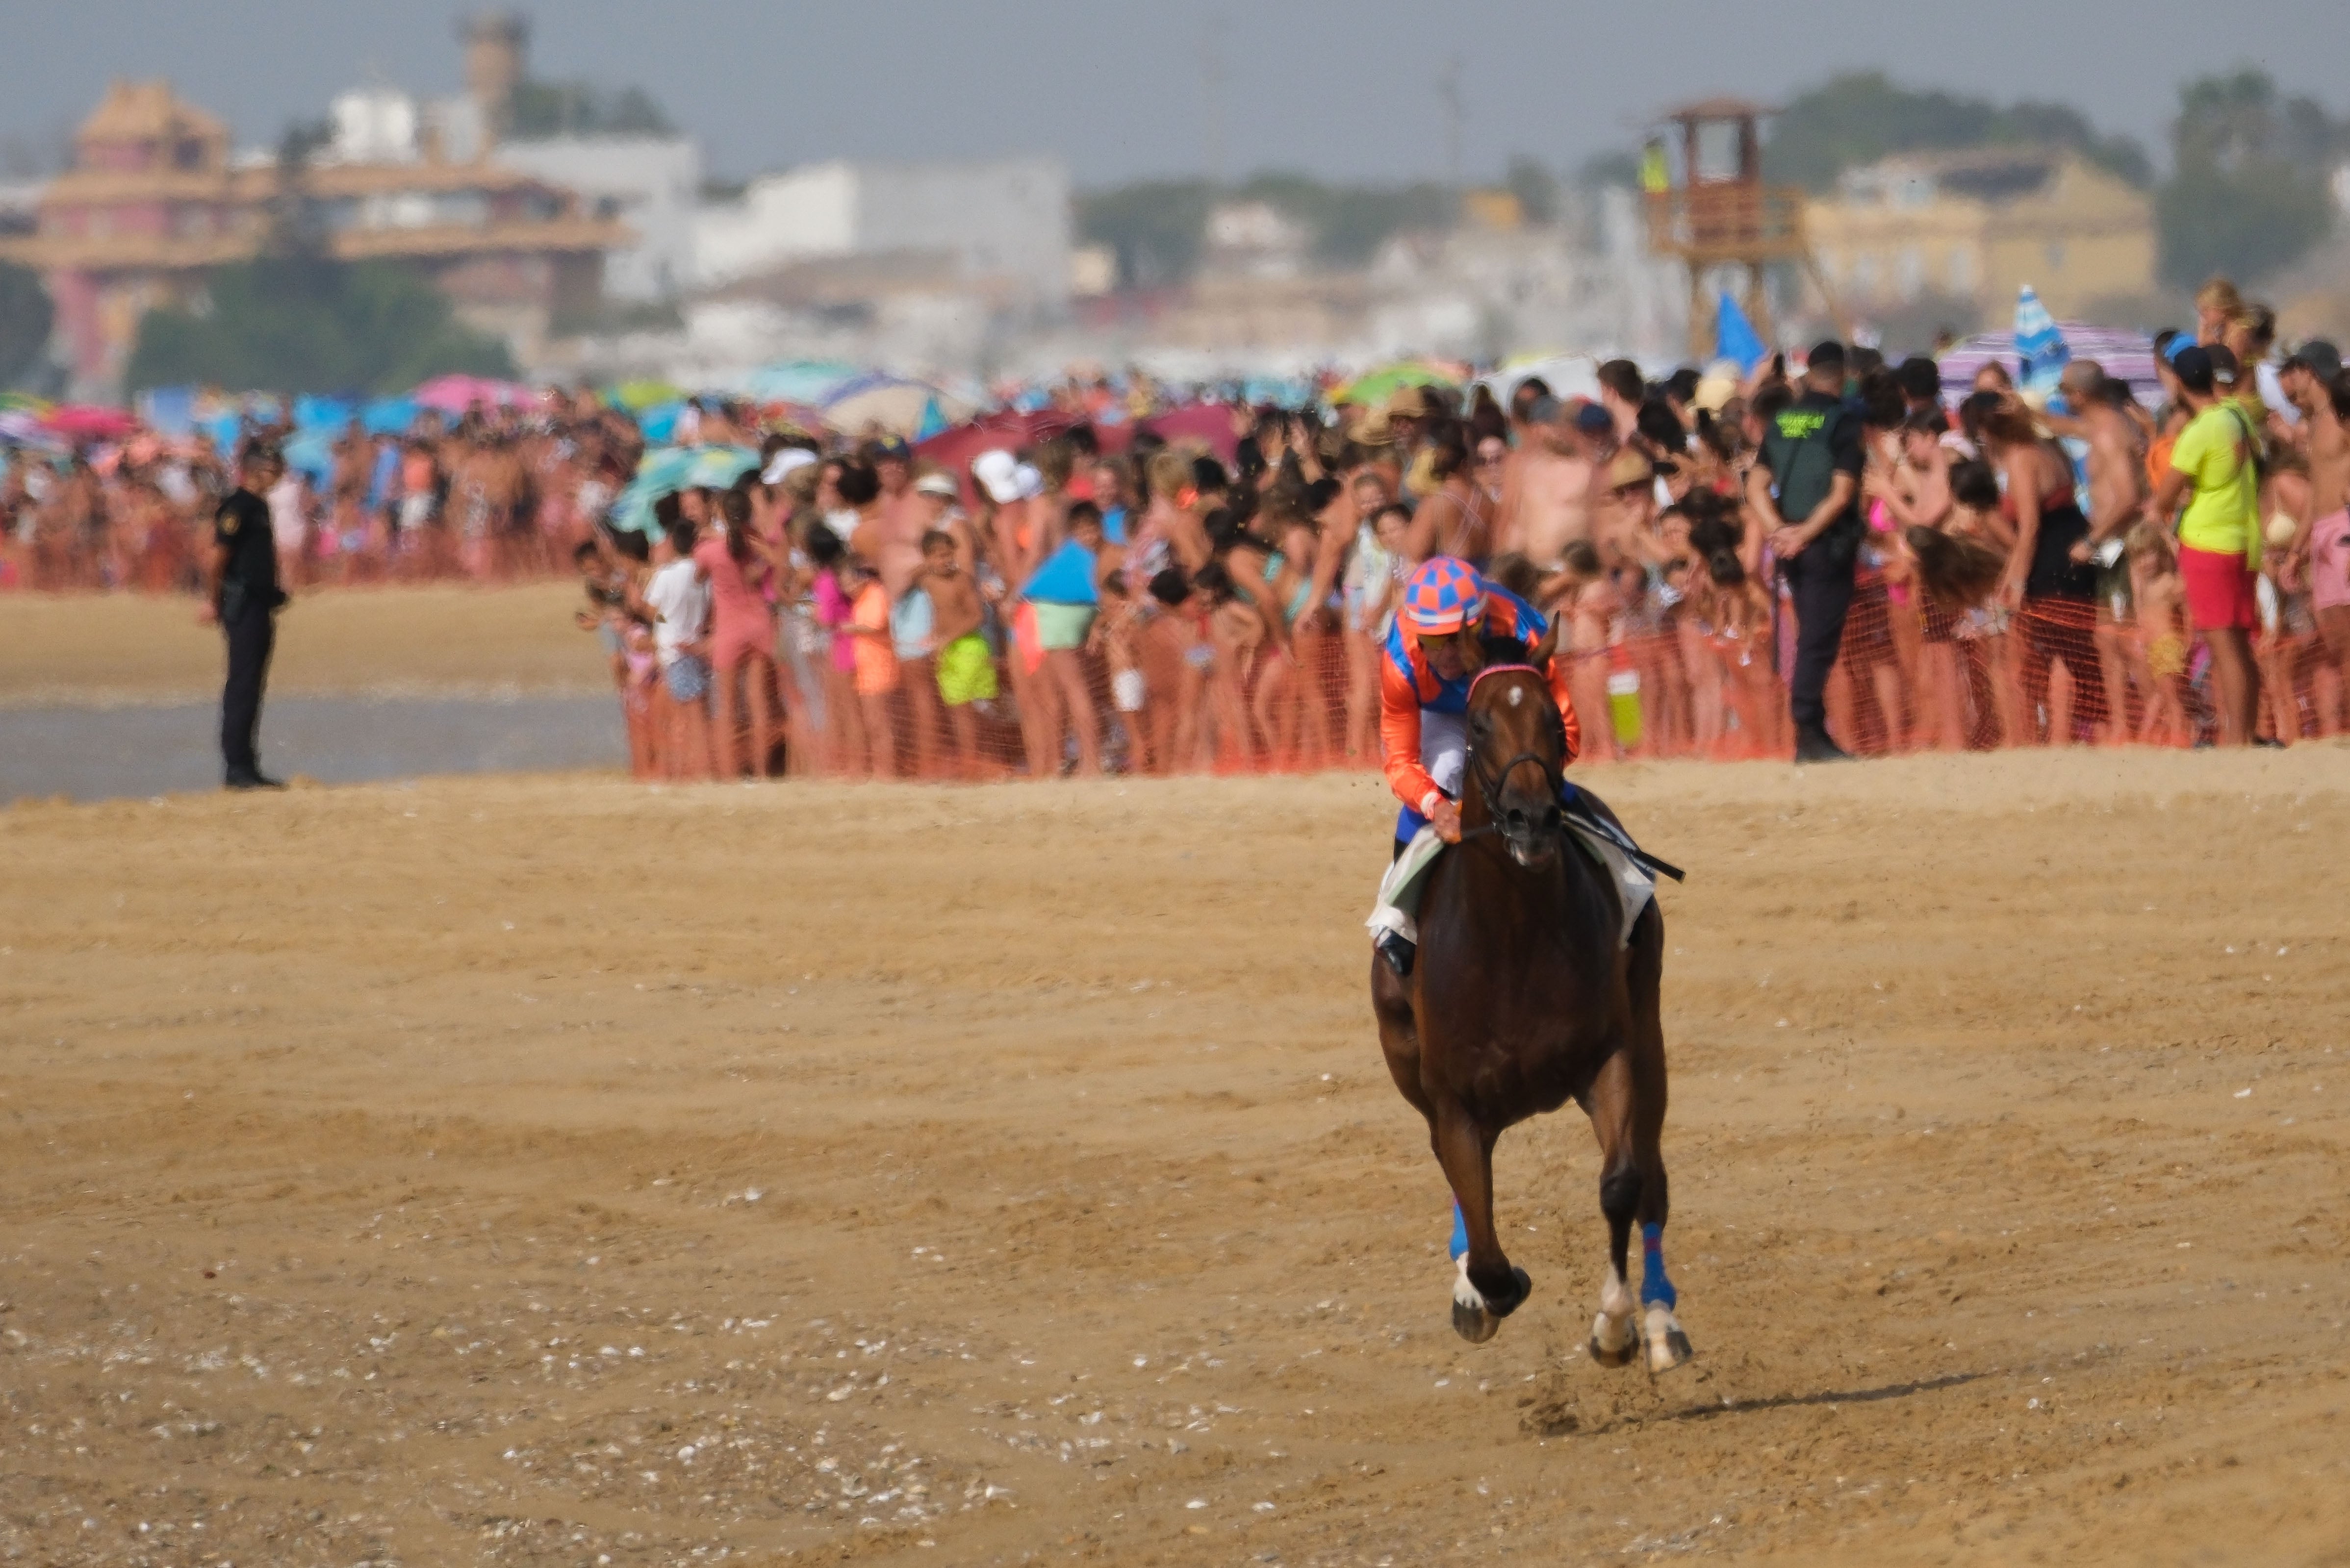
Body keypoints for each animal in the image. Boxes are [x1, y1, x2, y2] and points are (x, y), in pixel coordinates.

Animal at [1372, 625, 1692, 1373]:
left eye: (1555, 719)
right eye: (1478, 723)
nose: (1533, 818)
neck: (1512, 938)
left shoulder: (1609, 1056)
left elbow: (1622, 1183)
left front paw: (1615, 1325)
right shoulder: (1455, 1102)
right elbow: (1487, 1246)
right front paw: (1486, 1290)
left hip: (1649, 1033)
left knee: (1652, 1174)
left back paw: (1661, 1319)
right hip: (1406, 1060)